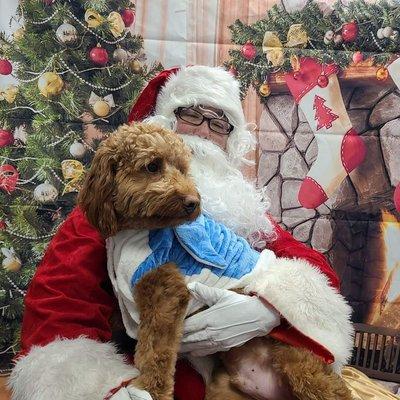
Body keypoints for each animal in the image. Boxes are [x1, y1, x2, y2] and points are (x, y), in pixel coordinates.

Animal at [76, 122, 352, 400]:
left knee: (333, 389)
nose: (193, 203)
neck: (136, 230)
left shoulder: (166, 295)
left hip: (298, 362)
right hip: (224, 390)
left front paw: (150, 390)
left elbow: (155, 353)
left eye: (183, 168)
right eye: (152, 166)